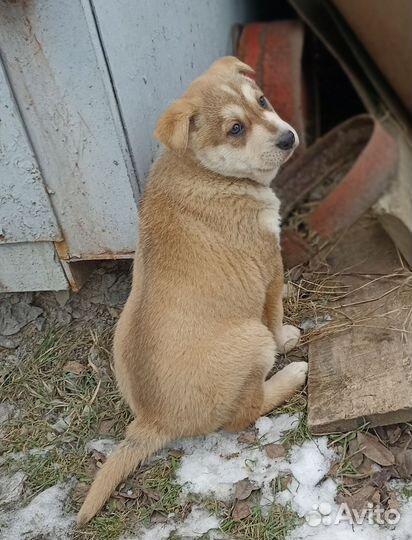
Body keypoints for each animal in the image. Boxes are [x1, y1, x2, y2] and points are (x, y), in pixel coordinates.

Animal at [78, 54, 306, 524]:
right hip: (251, 342)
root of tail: (155, 421)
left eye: (262, 101)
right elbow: (275, 314)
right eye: (235, 129)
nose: (288, 137)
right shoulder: (268, 265)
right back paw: (290, 375)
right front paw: (288, 336)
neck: (202, 170)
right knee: (245, 413)